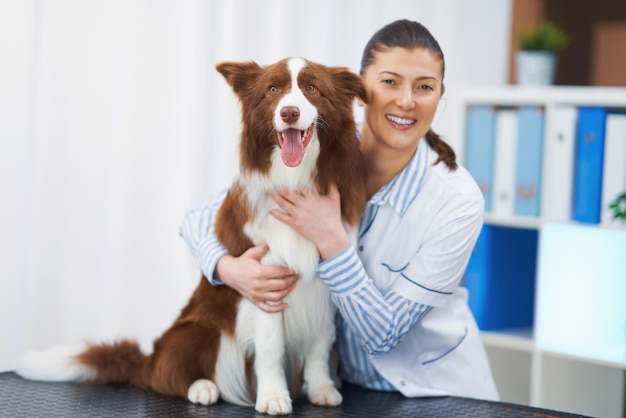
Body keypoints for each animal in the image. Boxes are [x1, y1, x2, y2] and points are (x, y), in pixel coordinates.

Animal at [17, 58, 368, 414]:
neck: (295, 181)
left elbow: (321, 344)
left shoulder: (325, 275)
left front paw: (322, 387)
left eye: (311, 88)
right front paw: (272, 396)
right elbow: (270, 346)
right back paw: (201, 386)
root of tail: (147, 360)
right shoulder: (267, 277)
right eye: (273, 90)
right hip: (200, 328)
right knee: (167, 374)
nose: (289, 113)